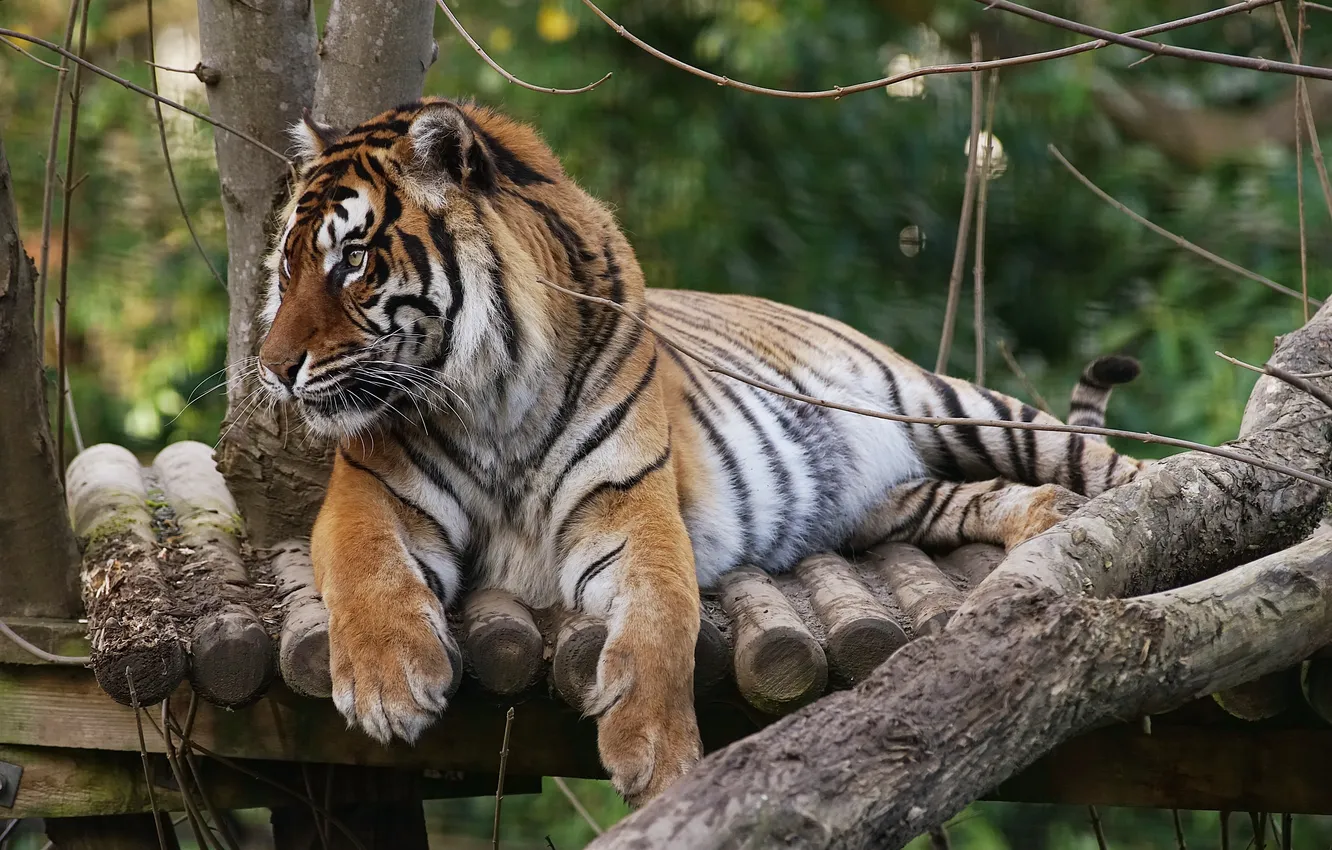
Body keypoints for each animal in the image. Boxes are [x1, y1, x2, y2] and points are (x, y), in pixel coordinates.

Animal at [255, 96, 1145, 804]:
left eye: (354, 260)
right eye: (287, 268)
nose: (272, 367)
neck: (490, 395)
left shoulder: (630, 503)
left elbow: (661, 616)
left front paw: (655, 756)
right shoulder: (370, 492)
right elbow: (369, 570)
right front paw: (389, 686)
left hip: (961, 409)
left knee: (1120, 468)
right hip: (899, 501)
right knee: (989, 496)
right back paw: (1050, 522)